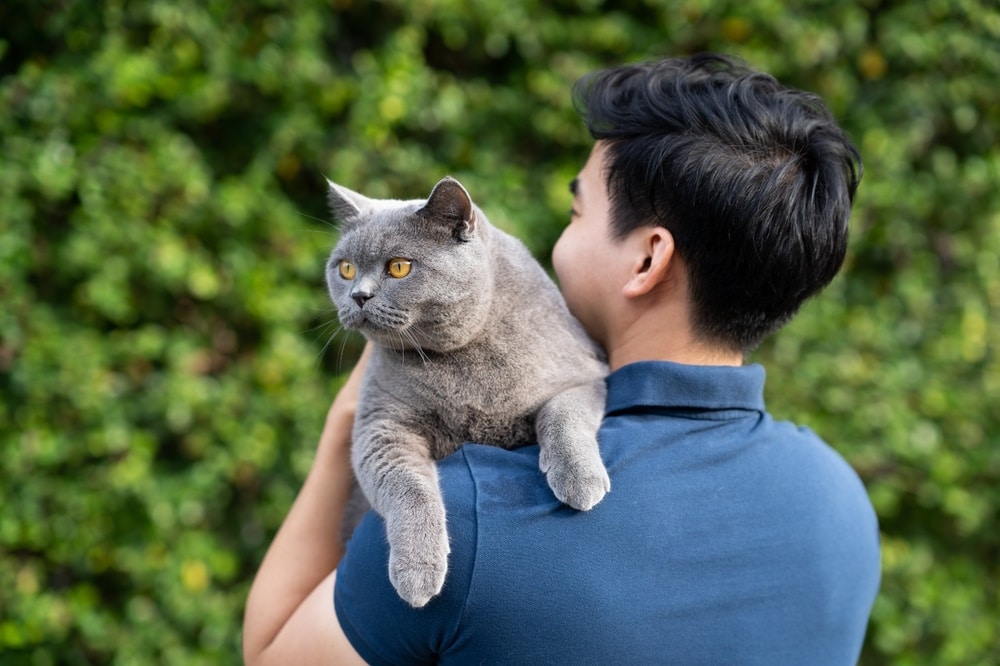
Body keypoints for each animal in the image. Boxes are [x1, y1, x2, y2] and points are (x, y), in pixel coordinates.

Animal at [328, 175, 608, 608]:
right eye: (345, 268)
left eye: (399, 266)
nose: (358, 295)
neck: (463, 359)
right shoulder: (381, 425)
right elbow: (407, 486)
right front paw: (418, 570)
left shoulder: (585, 373)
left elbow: (564, 415)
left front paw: (580, 481)